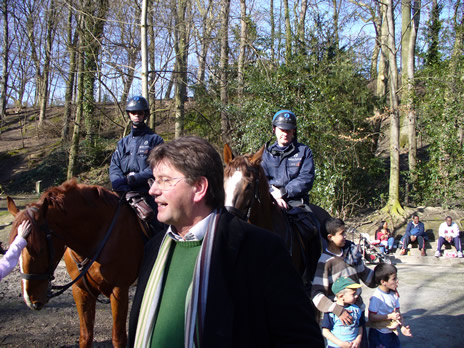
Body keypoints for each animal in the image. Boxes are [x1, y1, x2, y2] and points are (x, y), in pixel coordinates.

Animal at [7, 179, 145, 348]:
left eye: (39, 249)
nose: (30, 299)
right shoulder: (80, 290)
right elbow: (86, 336)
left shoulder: (119, 290)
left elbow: (118, 338)